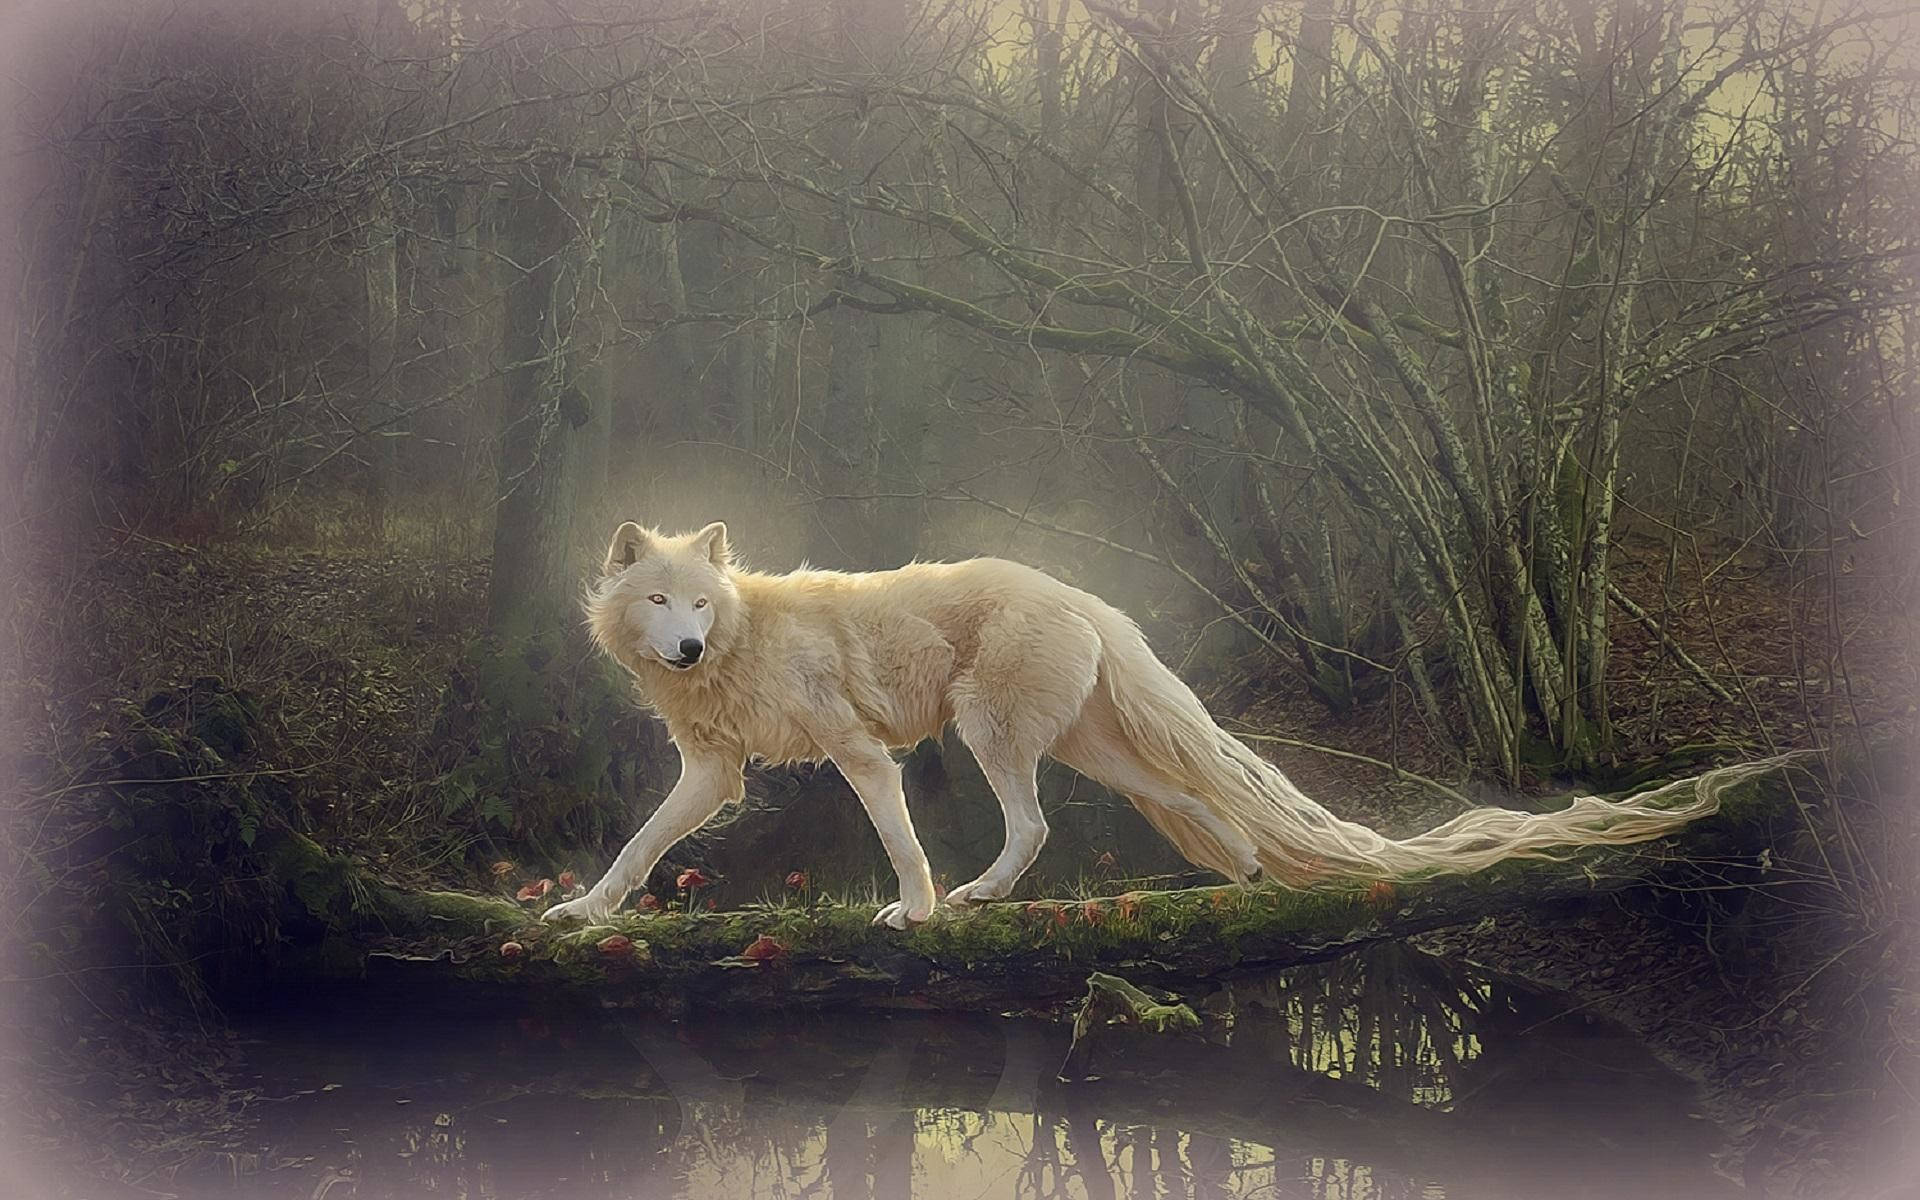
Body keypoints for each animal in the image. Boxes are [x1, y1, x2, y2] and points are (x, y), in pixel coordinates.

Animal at [544, 521, 1749, 929]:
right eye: (660, 600)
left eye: (701, 603)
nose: (686, 649)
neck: (744, 640)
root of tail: (1083, 593)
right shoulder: (714, 775)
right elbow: (639, 847)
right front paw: (584, 914)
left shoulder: (860, 752)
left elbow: (900, 841)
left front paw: (917, 911)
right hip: (1099, 758)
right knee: (1191, 802)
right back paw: (1246, 878)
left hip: (993, 739)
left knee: (1034, 830)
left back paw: (979, 898)